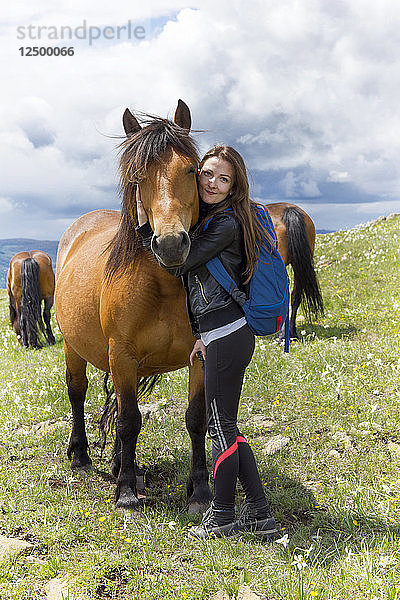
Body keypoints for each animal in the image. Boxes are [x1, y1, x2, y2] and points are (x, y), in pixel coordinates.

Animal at [54, 101, 214, 512]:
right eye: (139, 176)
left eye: (192, 169)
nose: (171, 244)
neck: (164, 286)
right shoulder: (122, 354)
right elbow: (128, 420)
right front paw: (126, 491)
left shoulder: (200, 356)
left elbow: (195, 419)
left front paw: (200, 492)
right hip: (74, 347)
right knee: (78, 392)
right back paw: (82, 456)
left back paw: (117, 463)